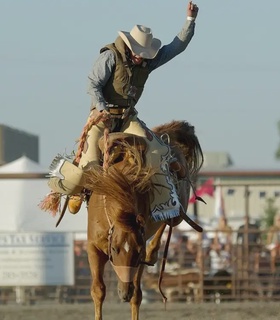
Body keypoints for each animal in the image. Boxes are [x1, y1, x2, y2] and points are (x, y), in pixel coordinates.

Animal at [84, 120, 202, 320]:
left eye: (138, 252)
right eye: (114, 249)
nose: (124, 293)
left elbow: (137, 296)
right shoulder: (93, 247)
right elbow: (98, 291)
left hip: (179, 212)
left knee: (168, 220)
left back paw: (153, 253)